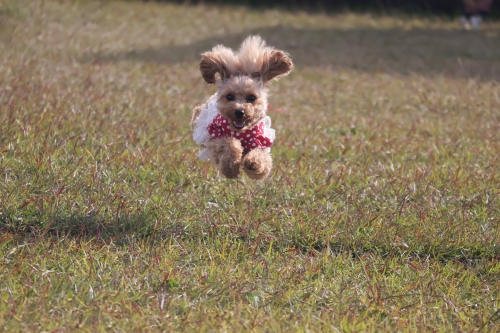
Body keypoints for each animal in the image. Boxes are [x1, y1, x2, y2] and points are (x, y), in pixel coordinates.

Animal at [191, 35, 292, 179]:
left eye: (252, 98)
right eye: (229, 96)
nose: (239, 111)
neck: (241, 132)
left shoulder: (261, 141)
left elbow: (262, 159)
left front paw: (253, 163)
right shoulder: (214, 138)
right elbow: (230, 143)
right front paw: (231, 168)